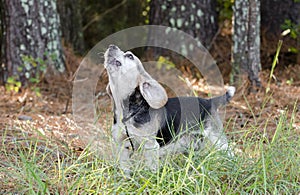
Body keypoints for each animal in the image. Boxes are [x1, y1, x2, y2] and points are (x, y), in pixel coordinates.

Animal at [104, 44, 236, 174]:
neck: (126, 112)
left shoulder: (150, 146)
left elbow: (151, 169)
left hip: (218, 139)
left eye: (130, 56)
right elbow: (125, 168)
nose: (111, 46)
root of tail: (209, 101)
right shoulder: (122, 145)